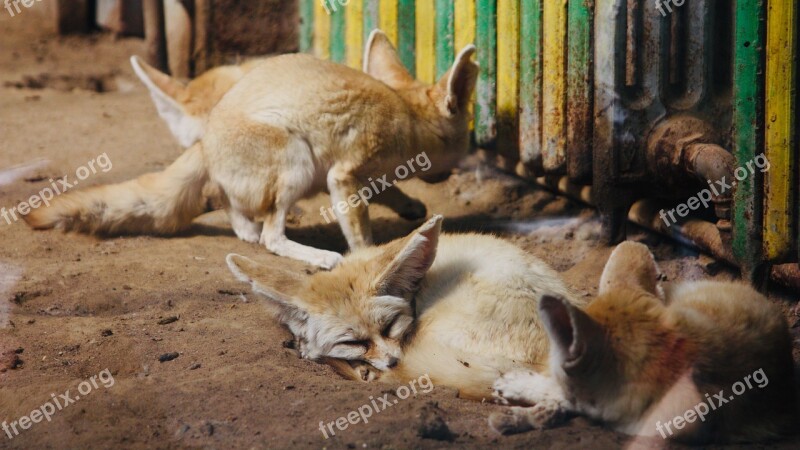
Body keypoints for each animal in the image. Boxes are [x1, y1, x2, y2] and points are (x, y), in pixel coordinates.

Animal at [25, 31, 478, 270]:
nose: (445, 175)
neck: (407, 115)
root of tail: (205, 141)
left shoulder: (362, 175)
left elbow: (391, 191)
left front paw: (410, 206)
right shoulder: (344, 173)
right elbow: (360, 230)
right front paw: (366, 257)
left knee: (238, 214)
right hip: (296, 160)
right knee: (269, 237)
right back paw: (319, 256)